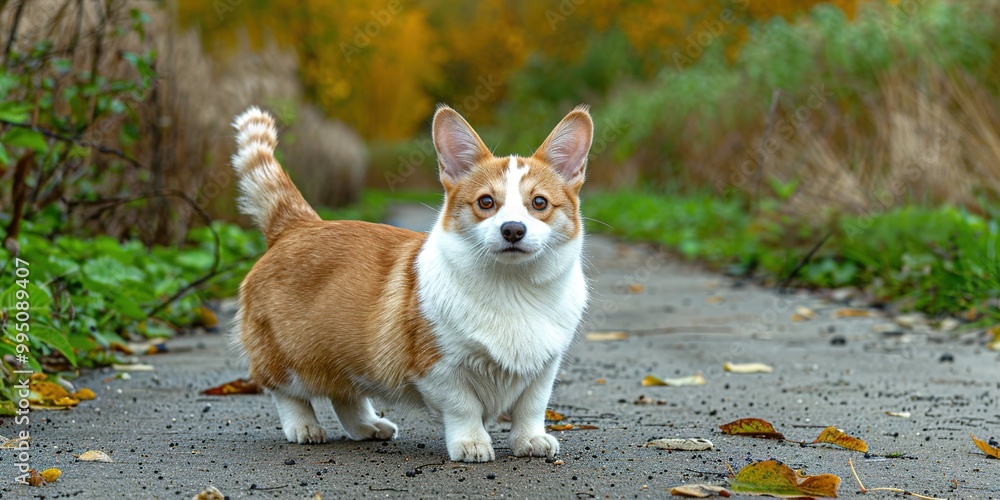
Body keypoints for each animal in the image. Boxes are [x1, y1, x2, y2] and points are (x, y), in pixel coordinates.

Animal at [230, 103, 588, 462]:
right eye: (486, 202)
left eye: (539, 203)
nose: (513, 229)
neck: (512, 285)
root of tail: (296, 225)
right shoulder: (439, 367)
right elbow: (464, 407)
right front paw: (471, 442)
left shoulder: (544, 368)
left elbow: (532, 407)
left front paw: (530, 440)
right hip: (289, 356)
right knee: (286, 392)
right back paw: (304, 427)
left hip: (350, 353)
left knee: (344, 393)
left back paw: (369, 426)